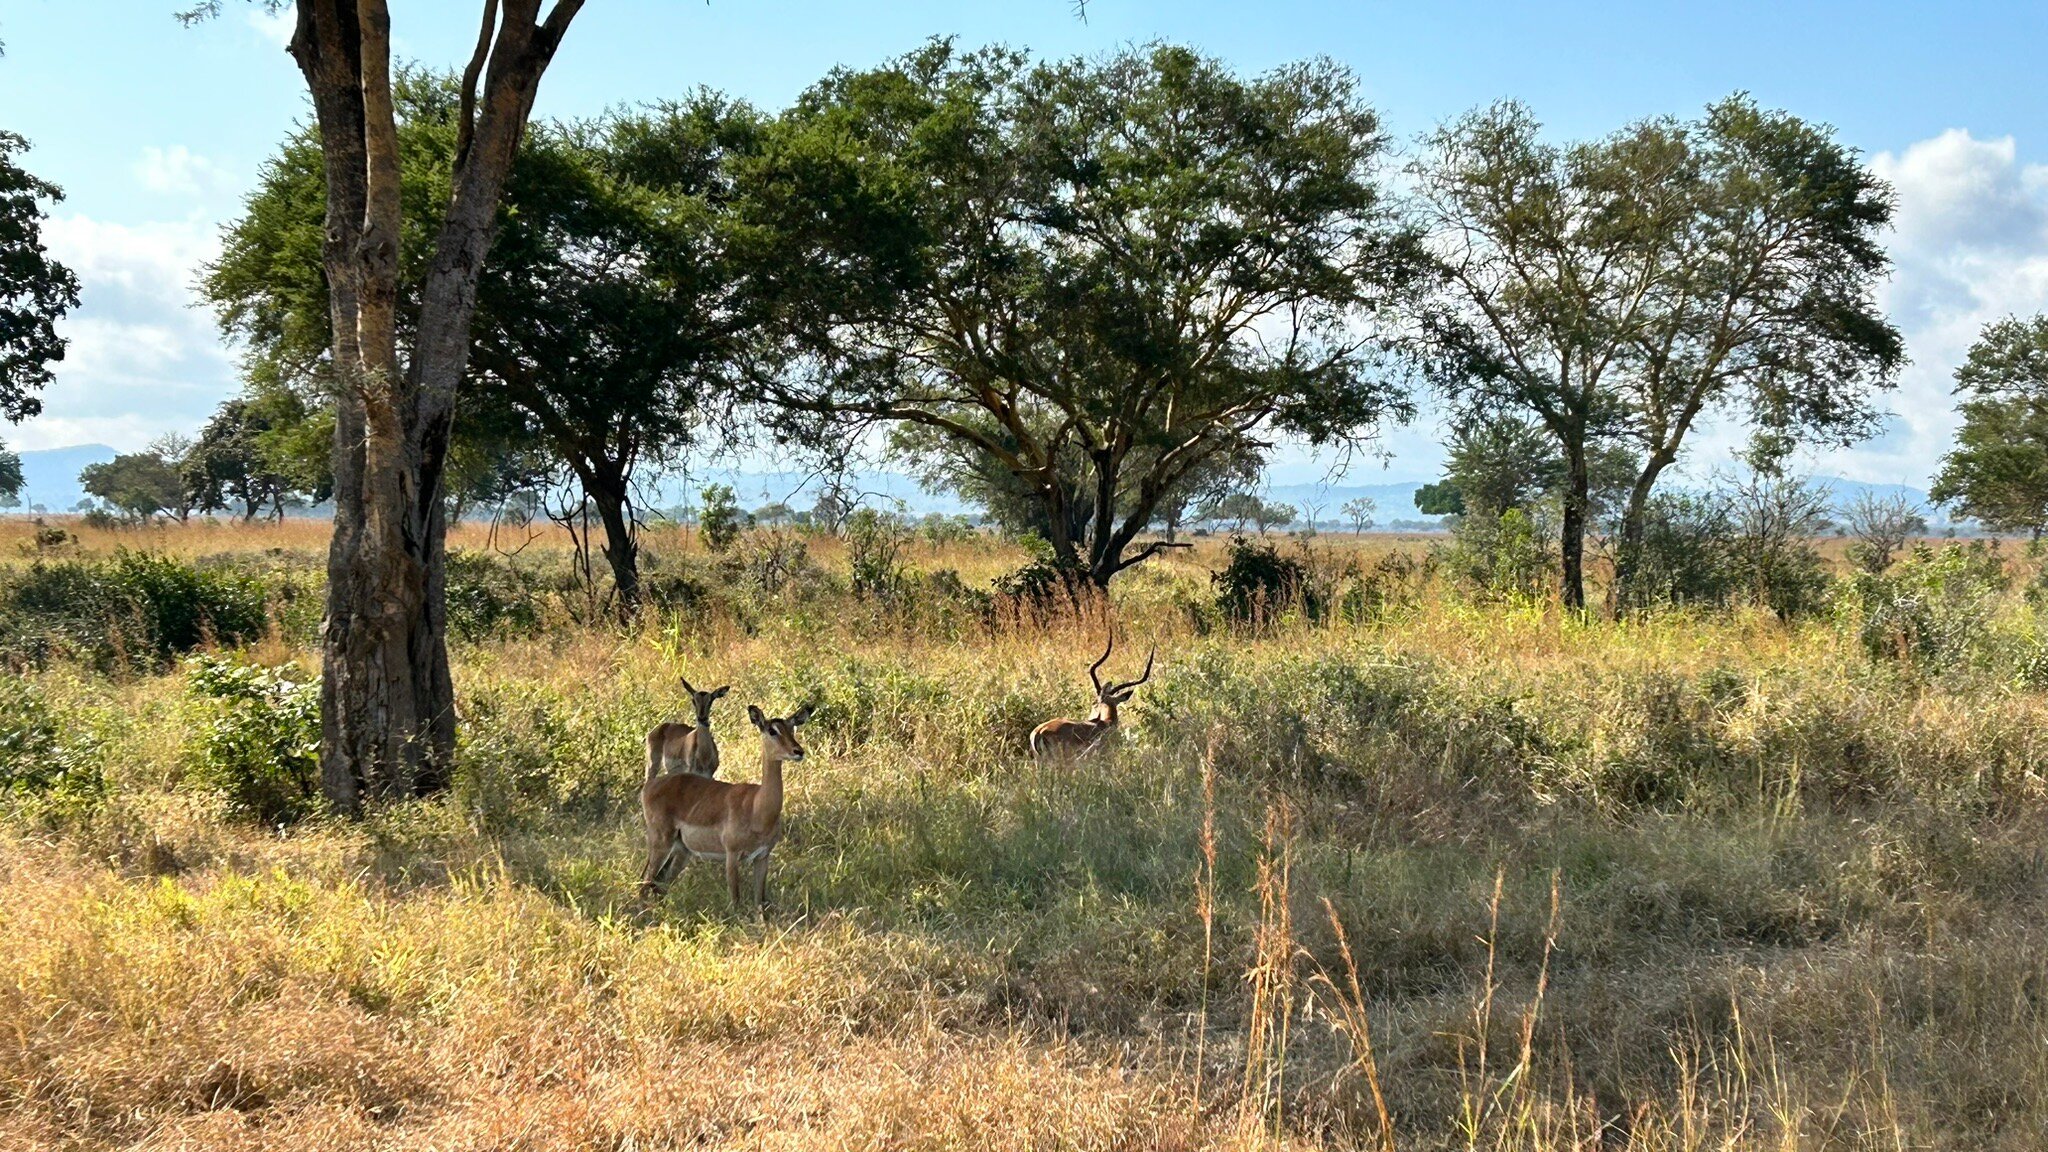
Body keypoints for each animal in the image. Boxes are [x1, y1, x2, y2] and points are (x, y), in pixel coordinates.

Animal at [639, 701, 816, 910]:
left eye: (792, 728)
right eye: (772, 730)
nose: (798, 751)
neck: (757, 809)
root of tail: (650, 785)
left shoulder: (762, 857)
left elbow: (759, 902)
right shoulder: (732, 856)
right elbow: (735, 901)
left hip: (681, 851)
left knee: (659, 884)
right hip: (661, 843)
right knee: (644, 882)